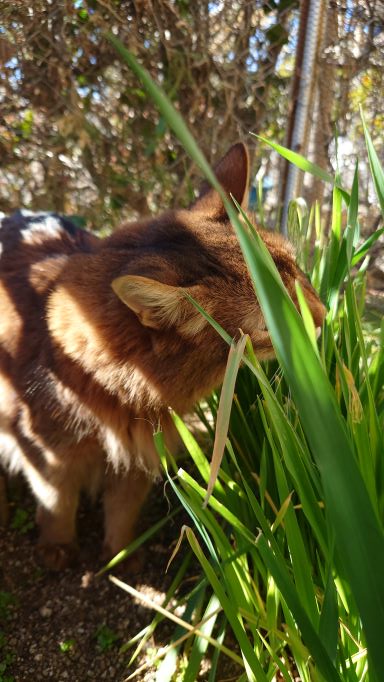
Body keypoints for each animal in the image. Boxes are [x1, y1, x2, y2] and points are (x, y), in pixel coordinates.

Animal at [0, 145, 326, 568]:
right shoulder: (48, 454)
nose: (323, 317)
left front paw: (121, 556)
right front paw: (58, 547)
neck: (123, 392)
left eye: (298, 271)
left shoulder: (143, 452)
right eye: (272, 322)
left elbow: (123, 511)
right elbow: (58, 504)